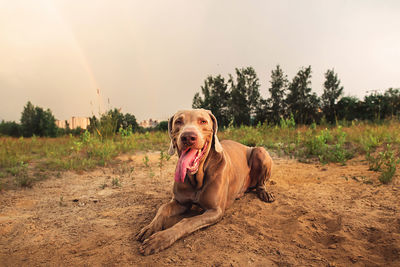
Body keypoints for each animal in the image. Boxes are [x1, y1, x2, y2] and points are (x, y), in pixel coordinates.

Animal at [136, 109, 274, 255]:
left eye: (203, 121)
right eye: (178, 121)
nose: (188, 137)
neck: (197, 177)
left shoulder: (215, 211)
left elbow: (187, 221)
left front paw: (159, 239)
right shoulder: (180, 202)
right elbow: (163, 208)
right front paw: (150, 228)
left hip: (260, 151)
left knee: (261, 182)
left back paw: (265, 193)